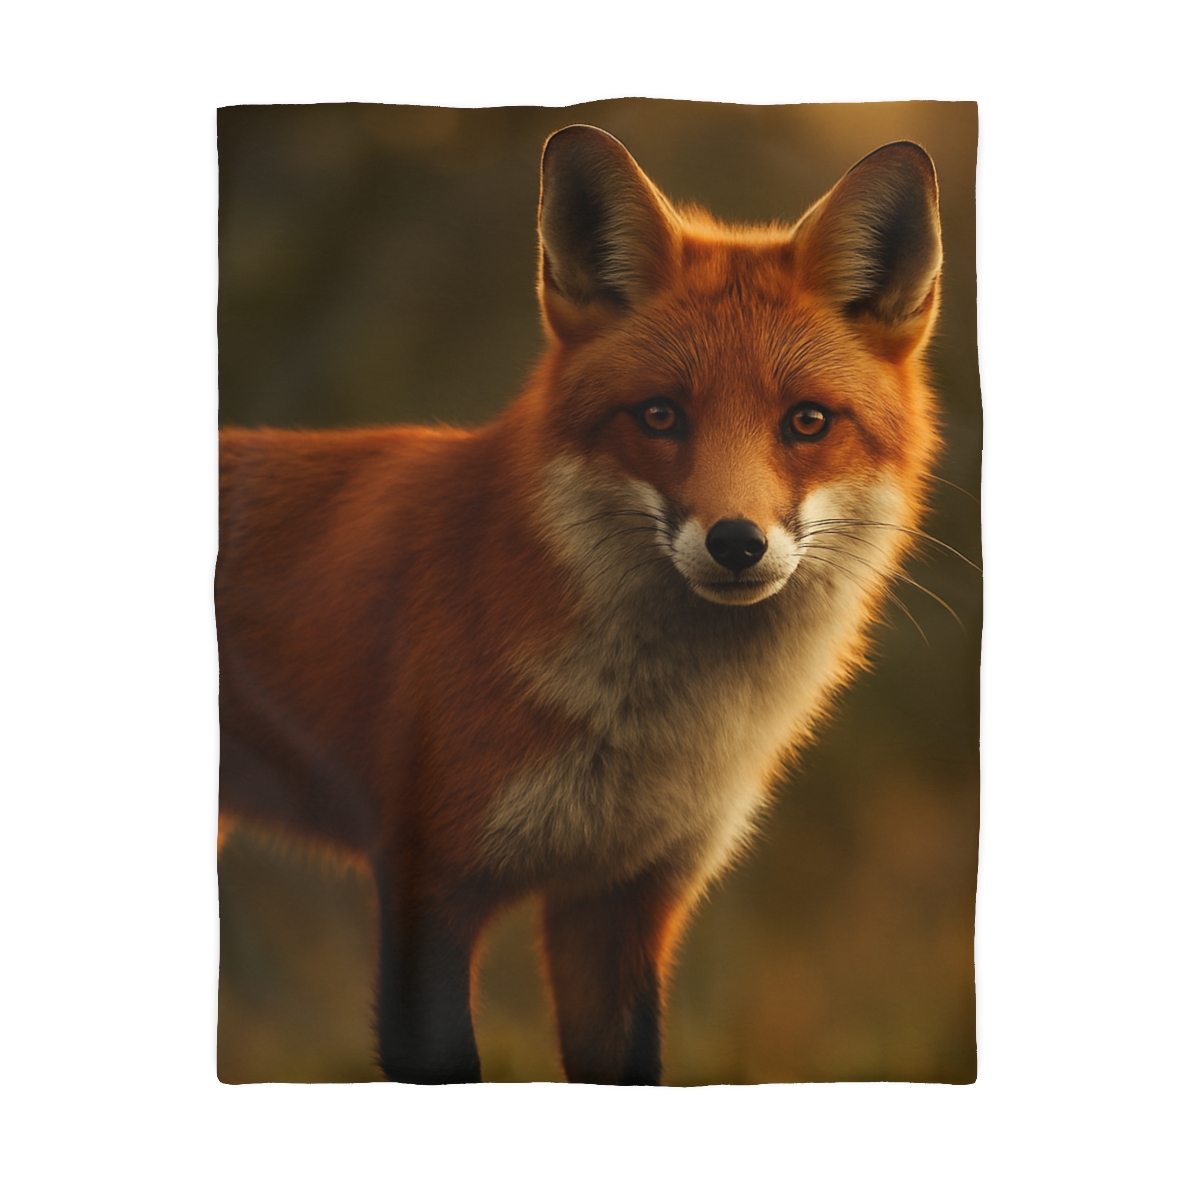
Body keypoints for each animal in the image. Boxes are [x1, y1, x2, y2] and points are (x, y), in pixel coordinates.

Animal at [217, 124, 944, 1085]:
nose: (735, 542)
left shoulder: (620, 904)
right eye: (661, 415)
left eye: (808, 422)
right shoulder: (425, 883)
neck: (644, 732)